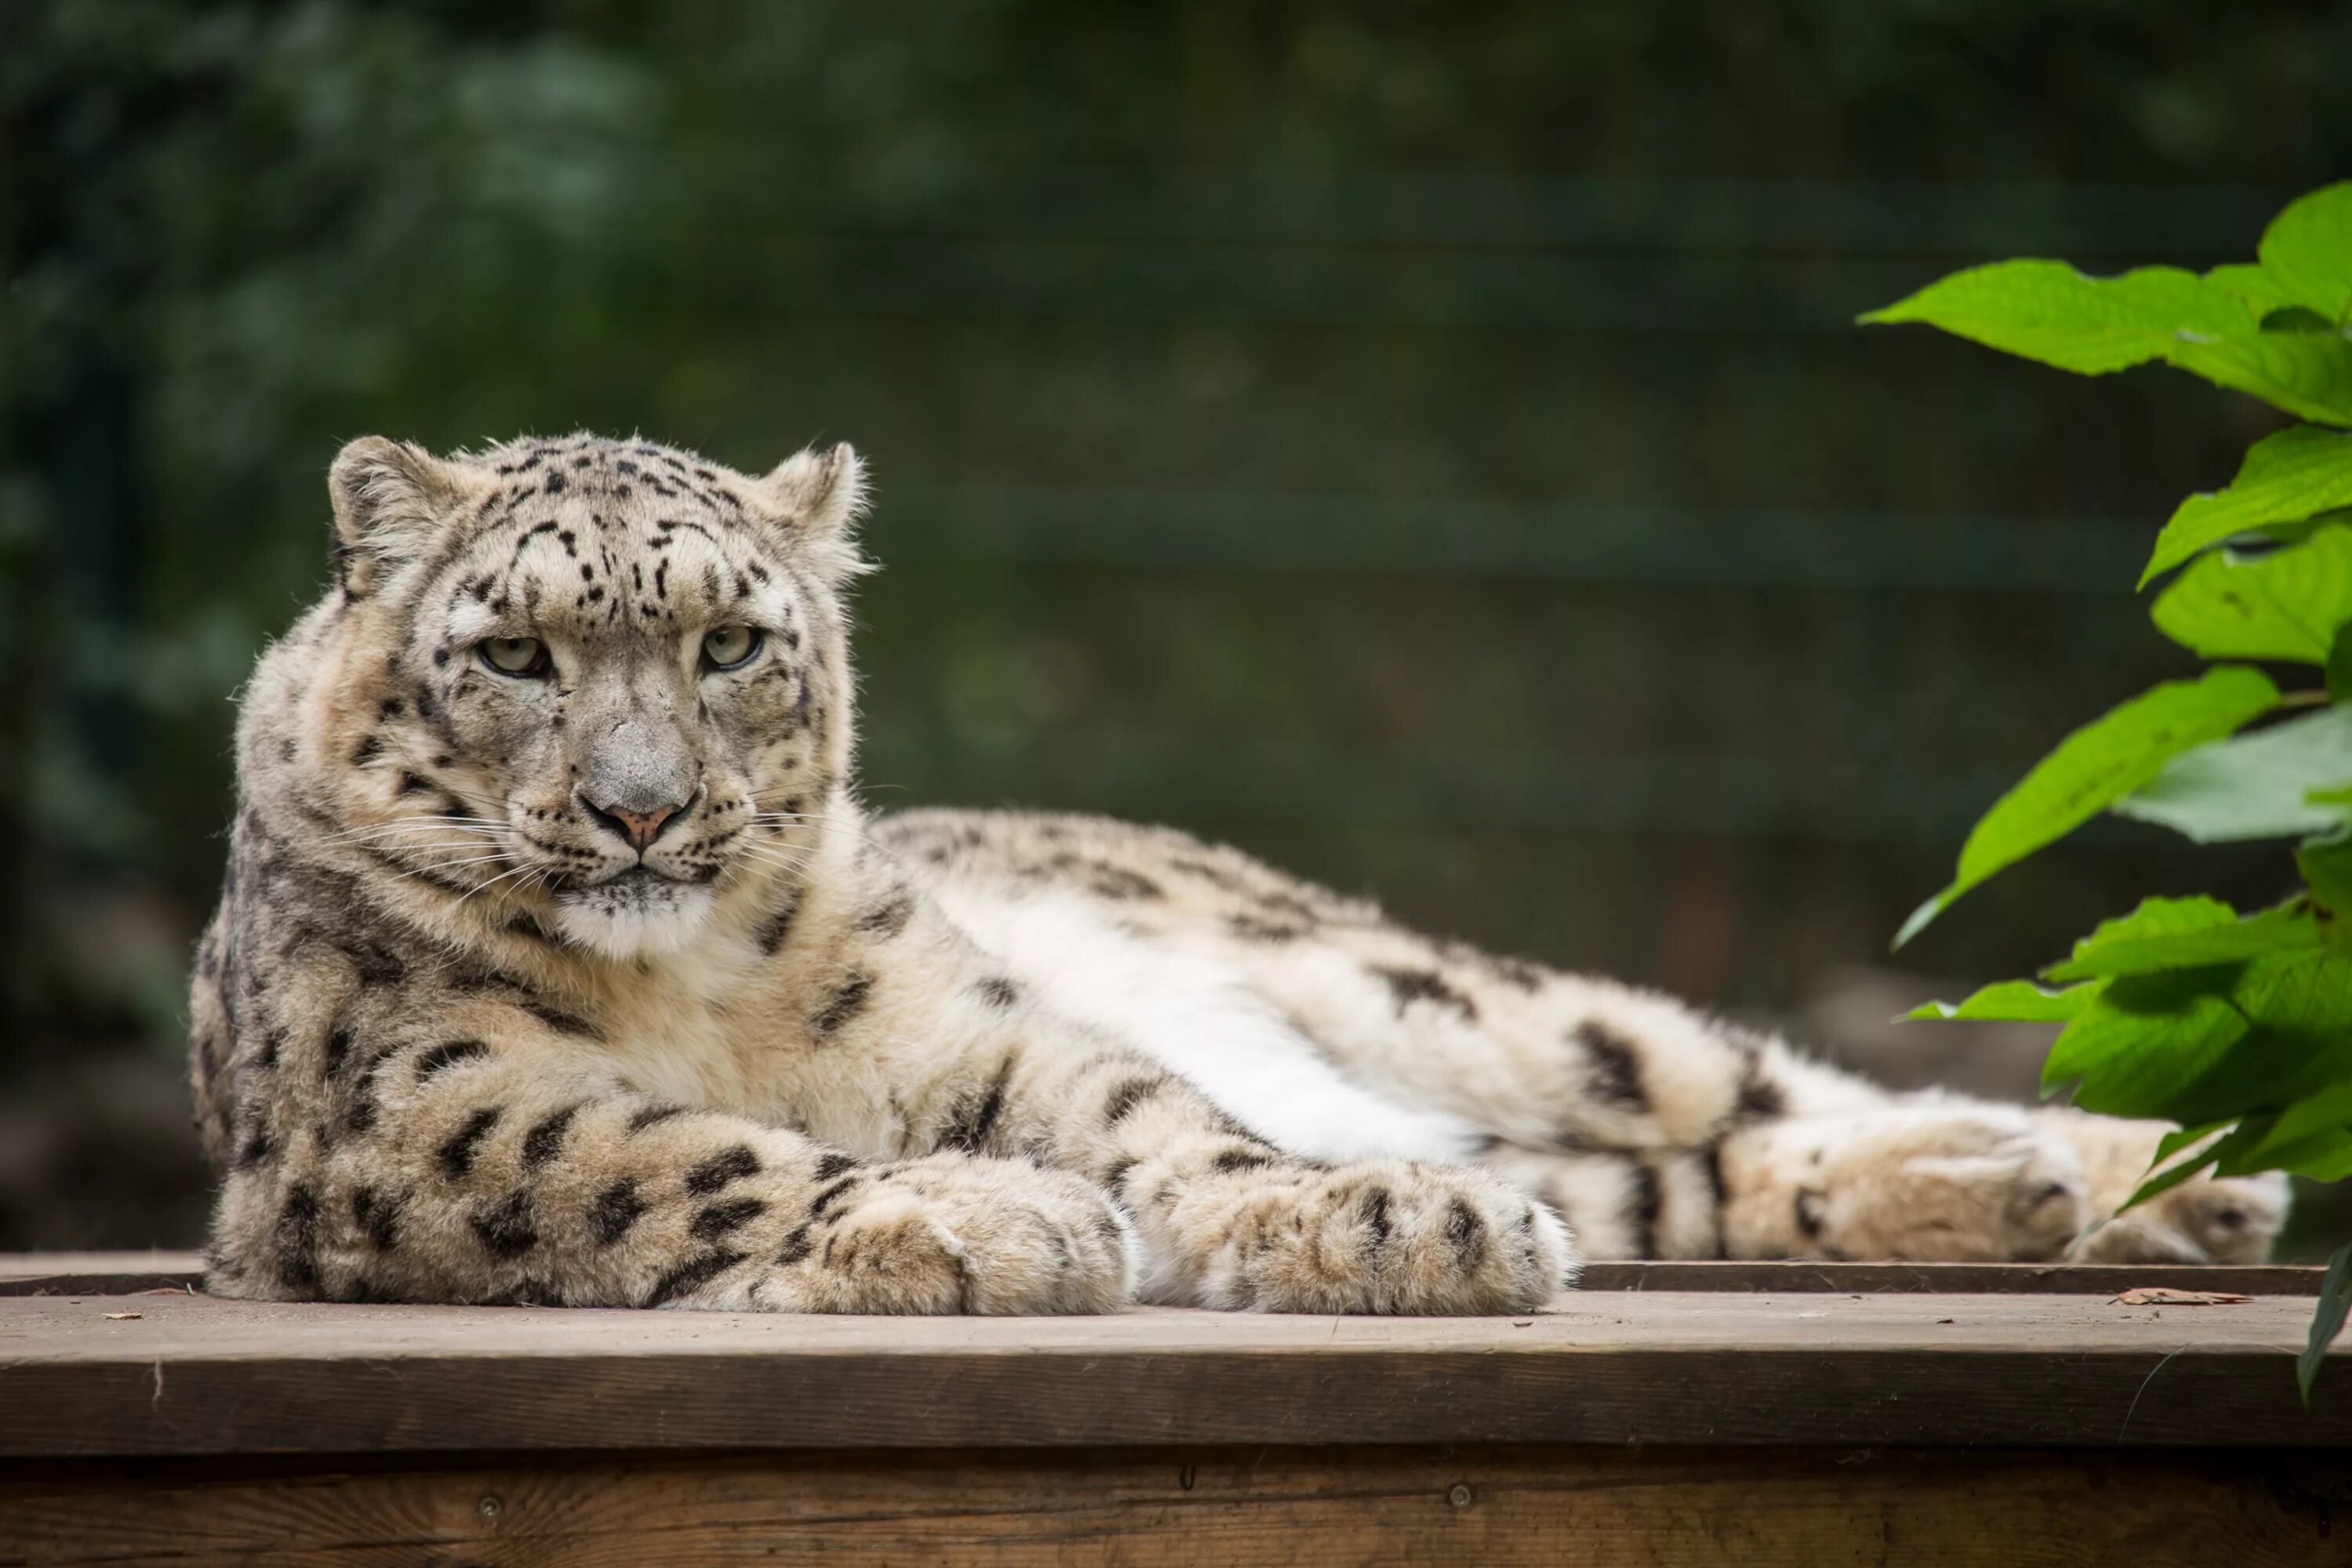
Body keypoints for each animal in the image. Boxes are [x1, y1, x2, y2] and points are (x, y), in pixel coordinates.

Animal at [188, 430, 2296, 1316]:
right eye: (515, 653)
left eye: (725, 642)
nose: (638, 812)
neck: (682, 975)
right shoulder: (413, 1109)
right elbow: (672, 1149)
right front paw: (1005, 1224)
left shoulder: (974, 1032)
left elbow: (1155, 1118)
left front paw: (1381, 1224)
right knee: (1682, 1177)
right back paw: (2020, 1185)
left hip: (1434, 992)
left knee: (1728, 1081)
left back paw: (2149, 1171)